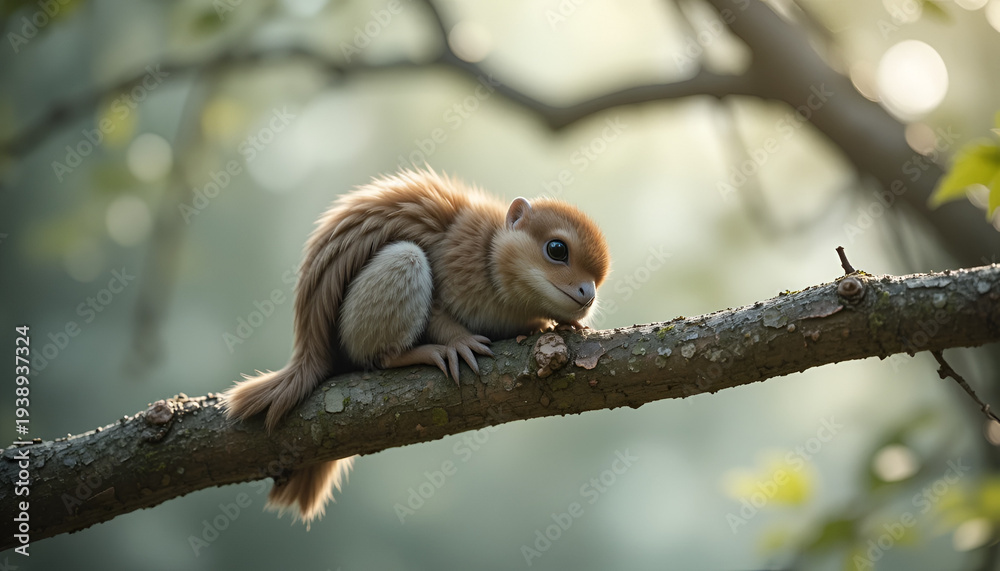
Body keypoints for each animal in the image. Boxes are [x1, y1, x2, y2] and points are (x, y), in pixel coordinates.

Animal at [223, 168, 611, 525]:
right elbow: (439, 313)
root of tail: (314, 354)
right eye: (557, 250)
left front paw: (565, 324)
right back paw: (424, 352)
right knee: (381, 355)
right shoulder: (452, 261)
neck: (490, 252)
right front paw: (459, 343)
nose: (588, 295)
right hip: (400, 268)